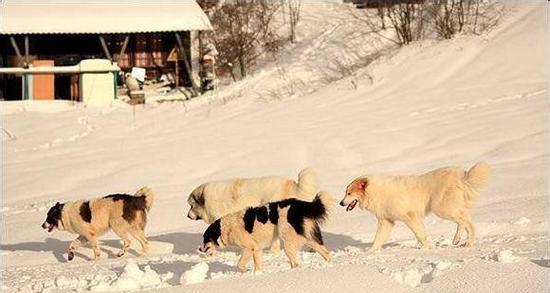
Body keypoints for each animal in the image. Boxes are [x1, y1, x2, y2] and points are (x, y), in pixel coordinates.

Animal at [201, 190, 334, 270]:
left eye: (205, 238)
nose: (199, 249)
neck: (226, 228)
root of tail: (300, 205)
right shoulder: (256, 248)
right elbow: (257, 265)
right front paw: (256, 274)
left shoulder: (249, 247)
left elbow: (240, 264)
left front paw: (246, 271)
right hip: (308, 239)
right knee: (326, 253)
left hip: (288, 241)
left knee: (295, 263)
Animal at [340, 161, 492, 250]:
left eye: (349, 193)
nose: (341, 203)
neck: (375, 192)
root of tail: (461, 176)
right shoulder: (386, 222)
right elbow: (377, 240)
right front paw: (371, 252)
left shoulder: (409, 217)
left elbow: (420, 234)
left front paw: (426, 248)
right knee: (468, 223)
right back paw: (465, 242)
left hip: (441, 209)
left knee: (463, 222)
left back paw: (458, 240)